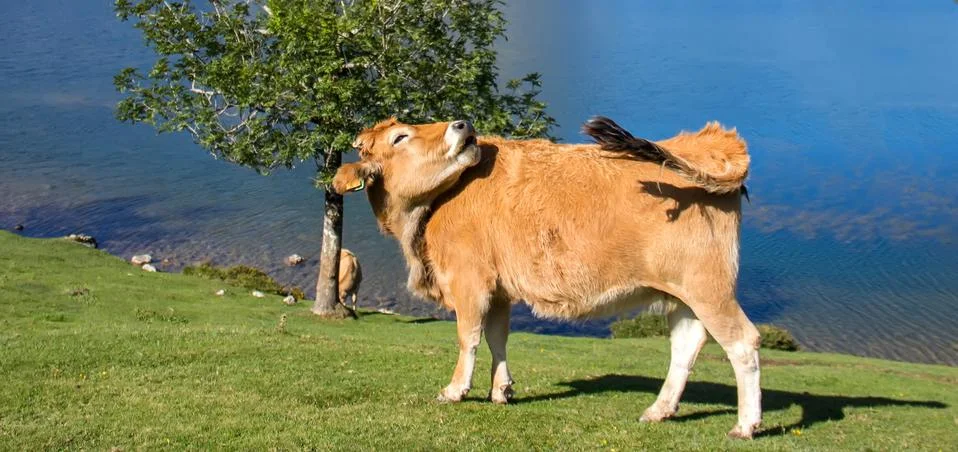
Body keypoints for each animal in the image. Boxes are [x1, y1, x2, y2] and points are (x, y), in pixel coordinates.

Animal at [331, 116, 761, 439]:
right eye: (400, 136)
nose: (462, 123)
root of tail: (707, 140)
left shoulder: (470, 281)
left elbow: (468, 337)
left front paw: (455, 390)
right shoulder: (499, 289)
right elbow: (498, 338)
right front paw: (501, 390)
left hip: (708, 287)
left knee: (742, 342)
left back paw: (745, 425)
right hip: (682, 293)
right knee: (686, 345)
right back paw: (660, 410)